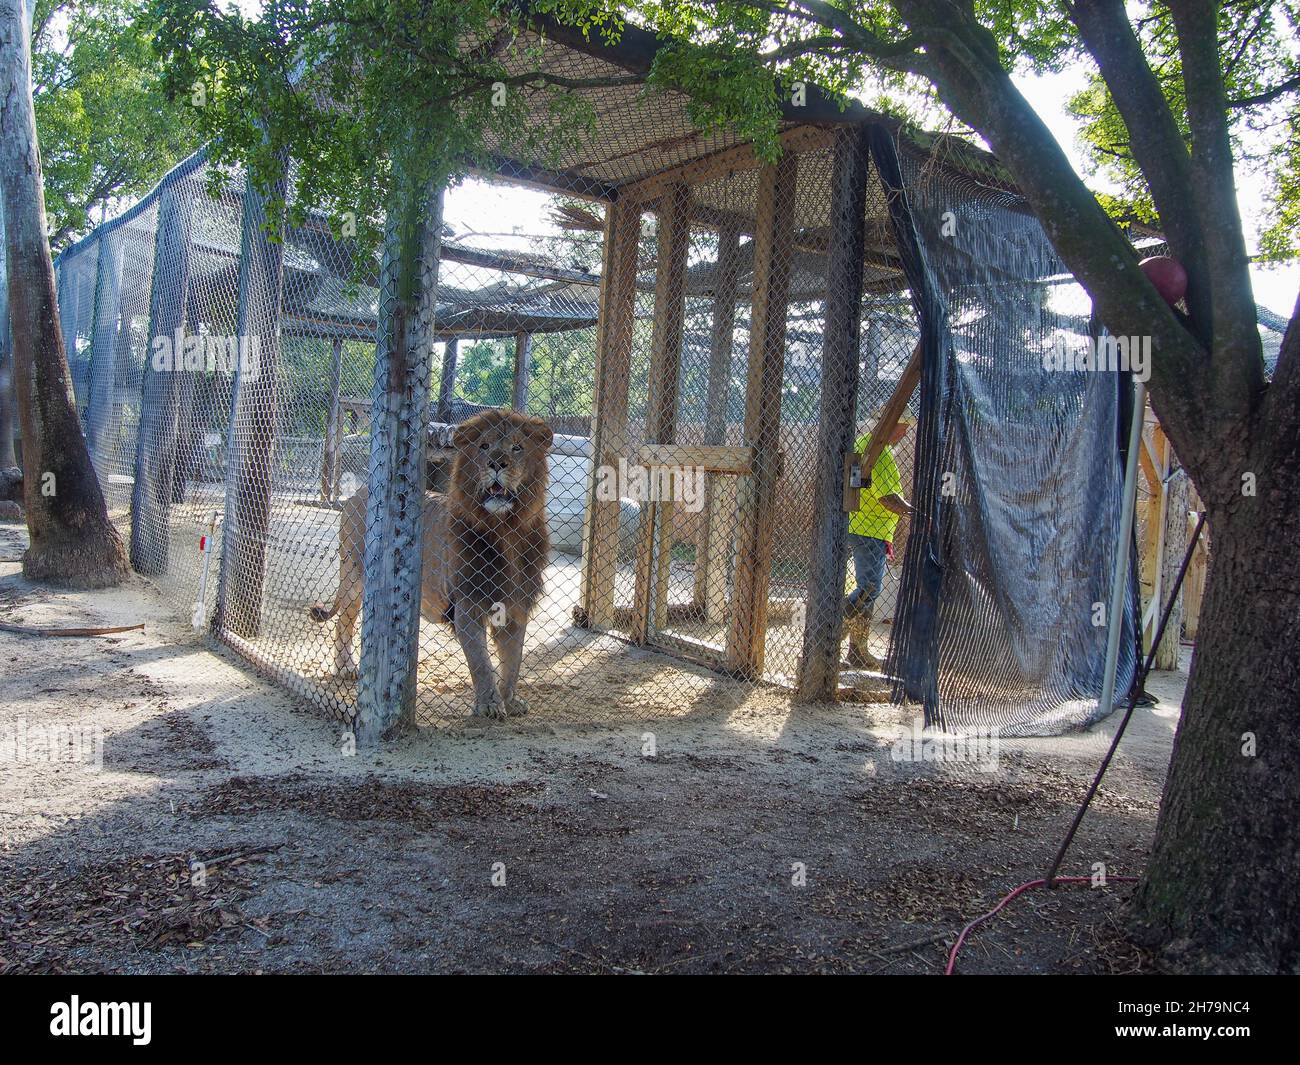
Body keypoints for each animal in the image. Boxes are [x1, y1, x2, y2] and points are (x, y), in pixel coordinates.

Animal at [314, 405, 559, 717]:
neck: (507, 532)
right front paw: (489, 705)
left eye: (517, 447)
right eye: (483, 447)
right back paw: (346, 667)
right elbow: (481, 662)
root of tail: (359, 492)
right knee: (343, 621)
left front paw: (510, 700)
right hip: (354, 575)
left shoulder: (516, 605)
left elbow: (513, 661)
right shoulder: (467, 604)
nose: (496, 464)